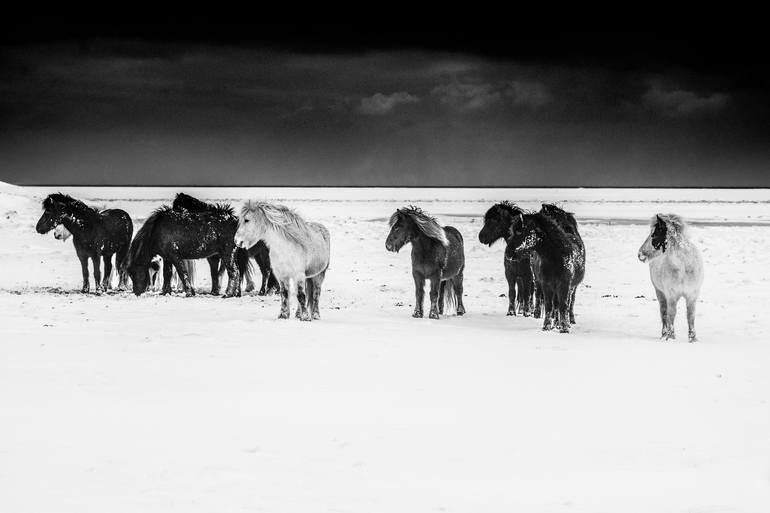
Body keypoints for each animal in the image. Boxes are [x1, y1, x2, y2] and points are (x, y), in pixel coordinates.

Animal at [636, 214, 704, 342]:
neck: (683, 267)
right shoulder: (671, 295)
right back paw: (664, 334)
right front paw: (671, 337)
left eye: (655, 234)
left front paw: (693, 338)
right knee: (663, 312)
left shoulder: (692, 295)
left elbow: (691, 316)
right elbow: (671, 315)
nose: (640, 254)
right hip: (660, 293)